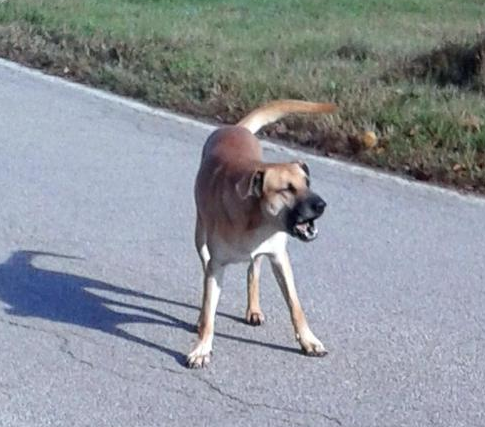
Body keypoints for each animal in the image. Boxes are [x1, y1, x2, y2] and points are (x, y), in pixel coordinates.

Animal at [186, 99, 336, 368]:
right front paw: (202, 347)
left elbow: (295, 305)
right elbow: (209, 306)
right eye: (287, 189)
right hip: (200, 237)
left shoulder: (279, 257)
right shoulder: (216, 265)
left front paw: (309, 341)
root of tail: (236, 128)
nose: (322, 205)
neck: (256, 218)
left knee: (253, 269)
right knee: (207, 265)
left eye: (307, 183)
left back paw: (253, 309)